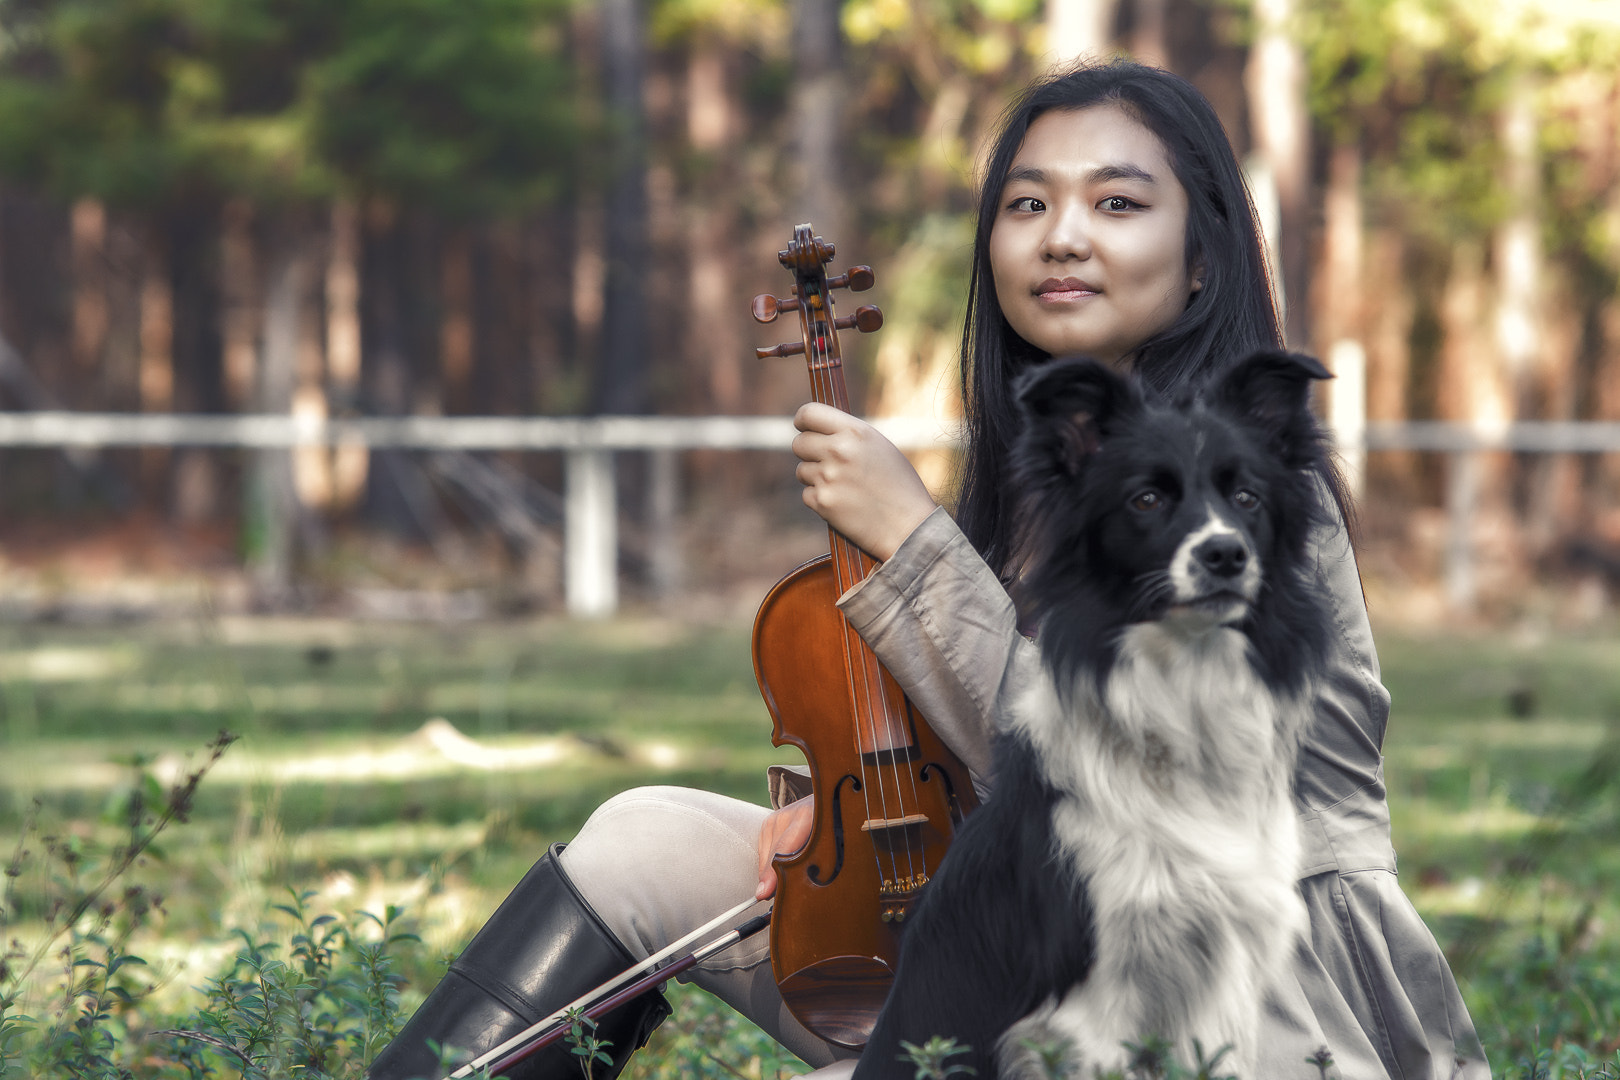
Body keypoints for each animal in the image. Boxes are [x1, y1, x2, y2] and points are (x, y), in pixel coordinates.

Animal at [855, 351, 1334, 1075]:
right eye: (1147, 499)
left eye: (1247, 498)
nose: (1226, 554)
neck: (1185, 686)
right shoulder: (1090, 1013)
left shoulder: (1219, 985)